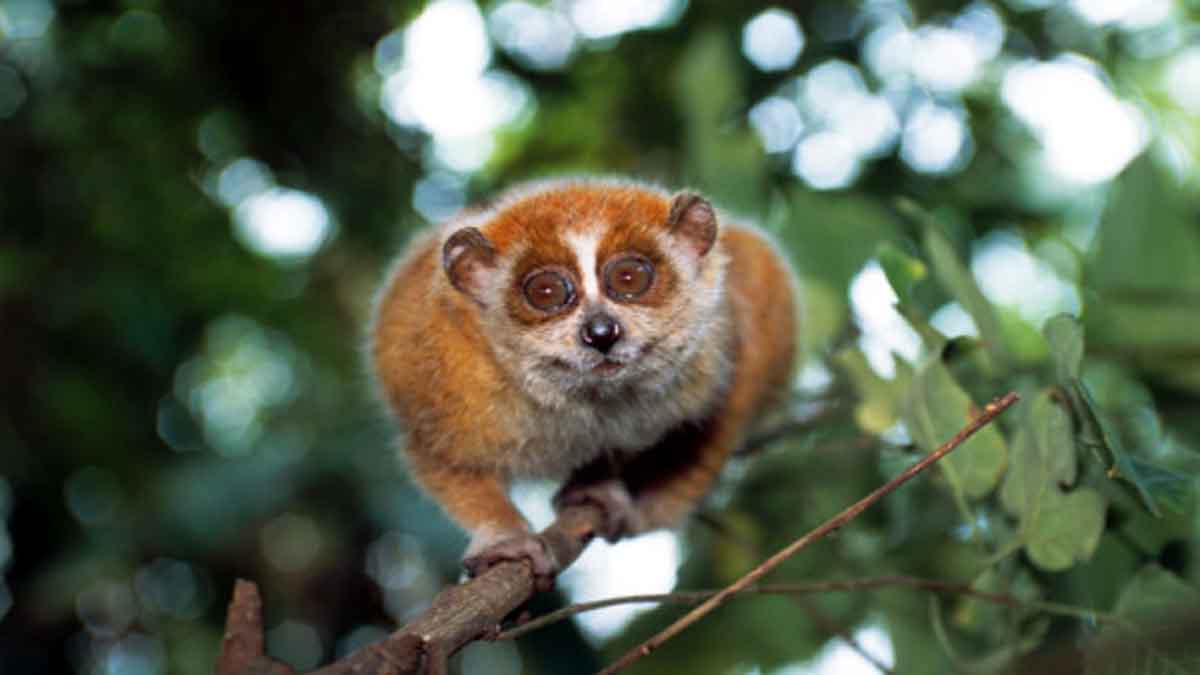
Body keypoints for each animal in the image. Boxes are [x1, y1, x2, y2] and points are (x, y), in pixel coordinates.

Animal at [370, 178, 797, 588]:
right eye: (546, 291)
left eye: (629, 278)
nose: (601, 332)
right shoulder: (443, 376)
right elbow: (438, 456)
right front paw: (507, 537)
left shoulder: (708, 359)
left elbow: (706, 427)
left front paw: (616, 494)